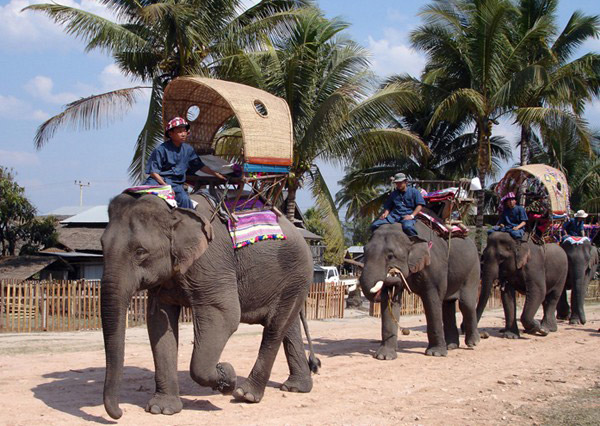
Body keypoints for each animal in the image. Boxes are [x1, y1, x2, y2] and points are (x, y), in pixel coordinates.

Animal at [101, 193, 322, 420]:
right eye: (101, 246)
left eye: (140, 251)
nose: (120, 413)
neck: (174, 211)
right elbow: (159, 322)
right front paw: (161, 410)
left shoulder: (211, 263)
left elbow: (225, 315)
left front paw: (227, 376)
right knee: (288, 325)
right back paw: (296, 388)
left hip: (297, 273)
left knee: (275, 328)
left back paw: (246, 394)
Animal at [358, 221, 480, 358]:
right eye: (364, 251)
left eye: (390, 256)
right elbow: (391, 301)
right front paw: (384, 356)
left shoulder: (434, 267)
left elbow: (432, 300)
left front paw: (435, 354)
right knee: (447, 304)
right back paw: (451, 346)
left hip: (473, 269)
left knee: (466, 304)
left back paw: (473, 343)